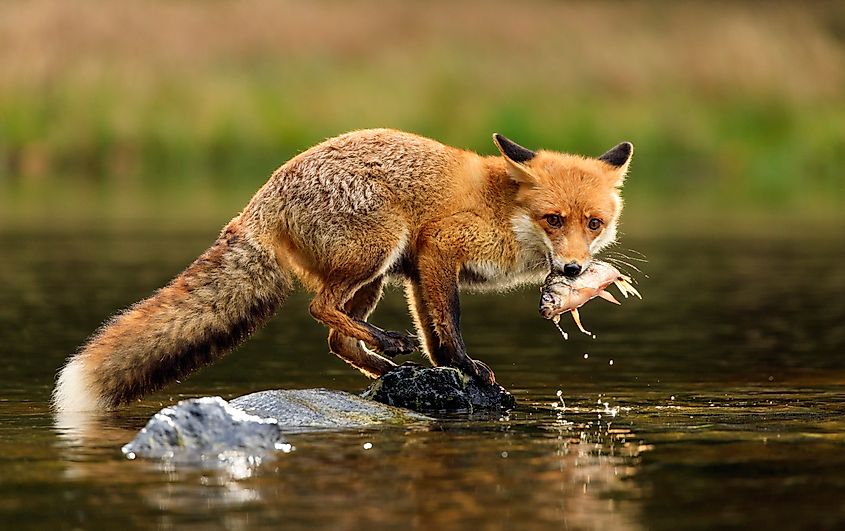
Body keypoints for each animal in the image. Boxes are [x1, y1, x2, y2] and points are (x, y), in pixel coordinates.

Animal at [53, 129, 633, 412]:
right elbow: (447, 325)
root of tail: (260, 198)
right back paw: (390, 347)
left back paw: (389, 367)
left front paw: (451, 370)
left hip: (378, 273)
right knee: (321, 308)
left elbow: (435, 335)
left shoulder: (418, 270)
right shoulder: (438, 248)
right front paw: (467, 368)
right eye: (554, 219)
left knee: (336, 336)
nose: (575, 268)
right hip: (377, 249)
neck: (504, 211)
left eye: (594, 222)